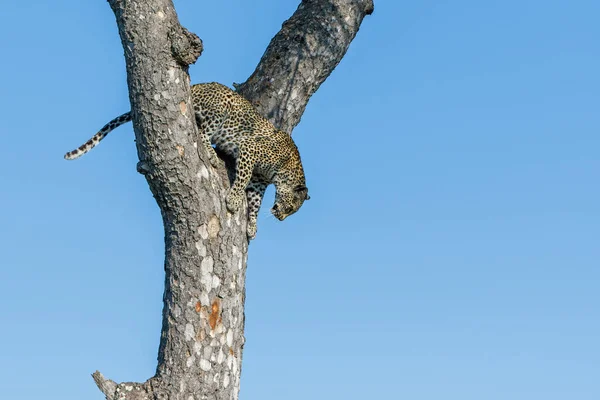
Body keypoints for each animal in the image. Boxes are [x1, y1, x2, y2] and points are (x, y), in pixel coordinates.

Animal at [64, 81, 310, 238]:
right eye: (289, 207)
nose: (280, 217)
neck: (284, 171)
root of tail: (195, 86)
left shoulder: (259, 181)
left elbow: (256, 203)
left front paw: (252, 227)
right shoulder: (249, 150)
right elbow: (242, 180)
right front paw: (233, 200)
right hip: (220, 107)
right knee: (202, 133)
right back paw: (211, 155)